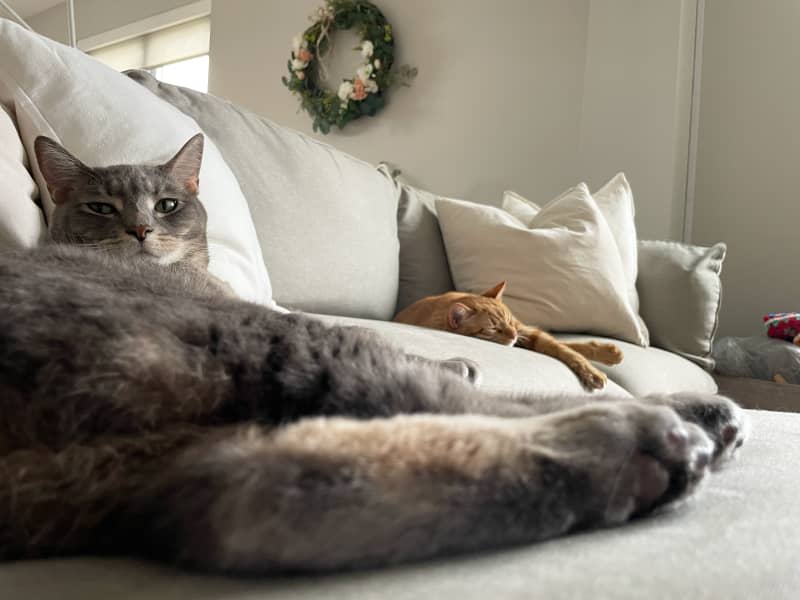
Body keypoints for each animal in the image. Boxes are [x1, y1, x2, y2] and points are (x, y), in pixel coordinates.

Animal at [394, 282, 624, 390]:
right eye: (493, 329)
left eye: (509, 321)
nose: (512, 334)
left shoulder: (525, 331)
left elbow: (563, 349)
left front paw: (592, 370)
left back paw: (610, 352)